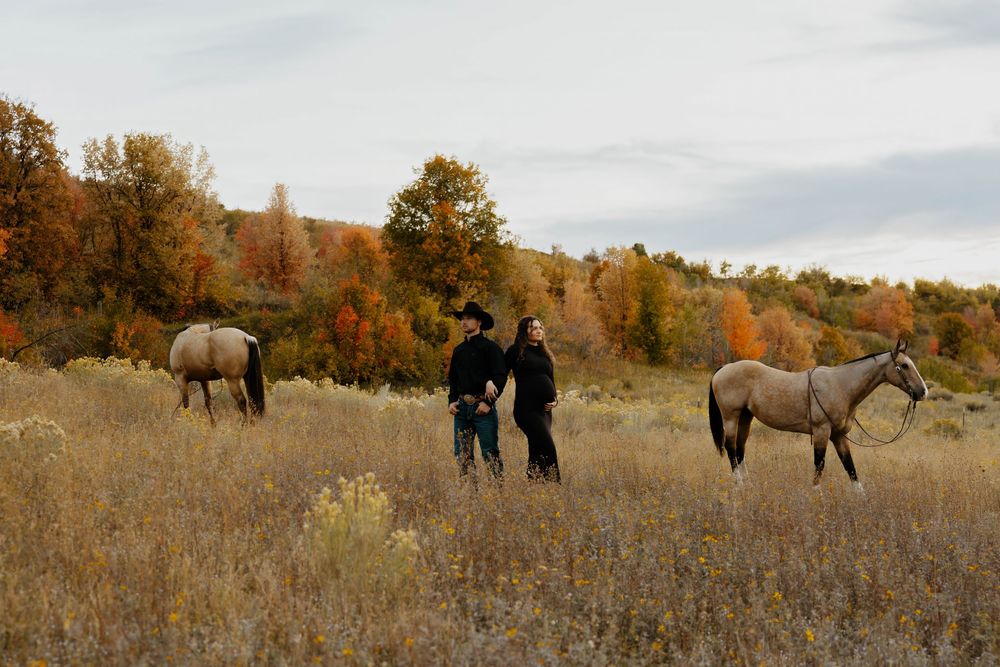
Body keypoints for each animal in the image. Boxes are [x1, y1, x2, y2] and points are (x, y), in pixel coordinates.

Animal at [708, 339, 927, 488]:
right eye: (904, 365)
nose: (923, 392)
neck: (840, 386)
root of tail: (725, 368)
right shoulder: (822, 432)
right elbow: (819, 466)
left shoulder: (839, 435)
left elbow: (851, 468)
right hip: (731, 417)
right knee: (731, 448)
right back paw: (739, 484)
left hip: (746, 417)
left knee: (740, 450)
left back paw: (748, 483)